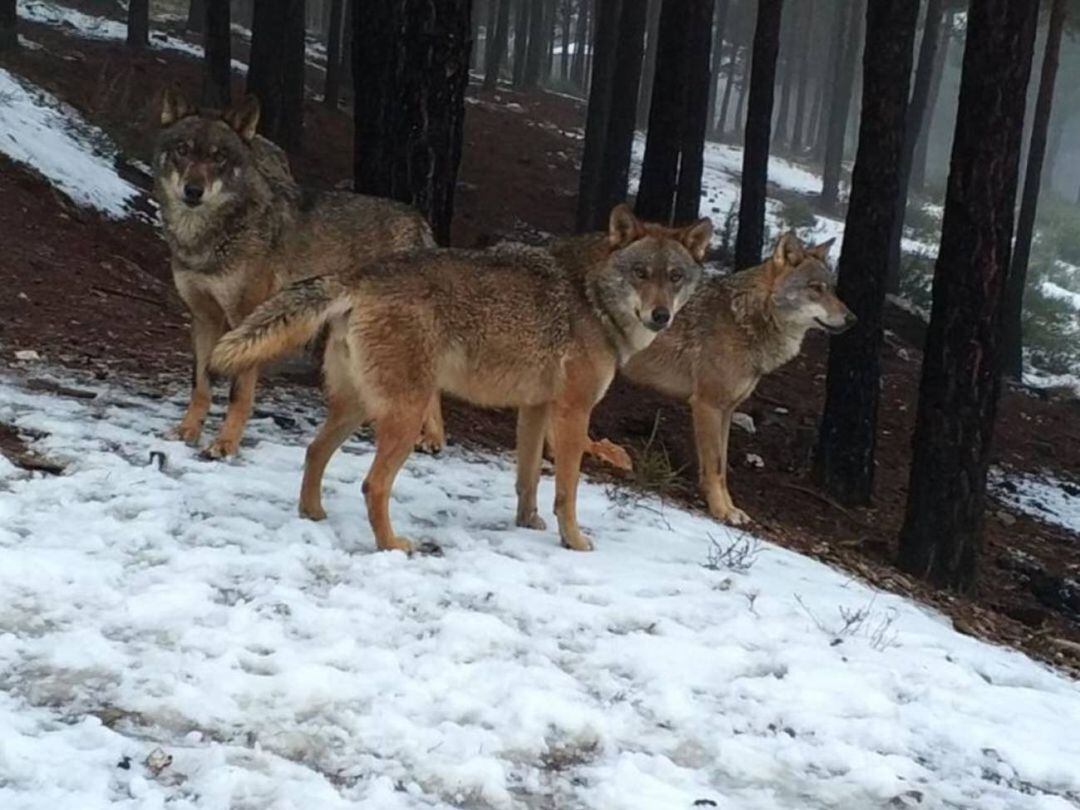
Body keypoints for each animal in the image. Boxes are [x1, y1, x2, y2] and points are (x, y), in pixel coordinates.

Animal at [153, 89, 438, 460]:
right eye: (183, 150)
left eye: (219, 158)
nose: (193, 191)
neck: (206, 238)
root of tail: (419, 221)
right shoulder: (203, 318)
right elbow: (200, 385)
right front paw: (187, 431)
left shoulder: (245, 322)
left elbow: (238, 394)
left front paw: (225, 444)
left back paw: (430, 439)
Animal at [210, 206, 717, 557]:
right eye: (641, 274)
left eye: (675, 277)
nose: (661, 315)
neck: (591, 296)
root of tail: (359, 275)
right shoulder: (573, 413)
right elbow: (567, 491)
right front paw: (573, 540)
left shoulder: (535, 409)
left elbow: (527, 479)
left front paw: (527, 523)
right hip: (406, 415)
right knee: (373, 484)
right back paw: (393, 545)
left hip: (358, 407)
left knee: (315, 451)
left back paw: (313, 513)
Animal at [609, 231, 851, 529]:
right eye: (815, 288)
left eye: (832, 289)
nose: (852, 319)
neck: (745, 320)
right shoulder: (707, 405)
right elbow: (714, 466)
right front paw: (721, 511)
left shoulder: (727, 410)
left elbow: (722, 468)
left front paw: (730, 508)